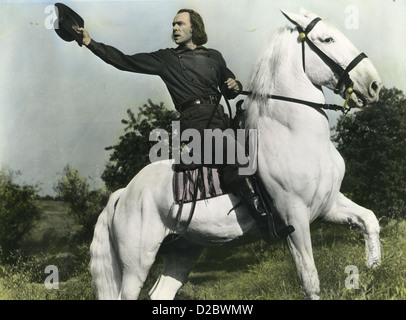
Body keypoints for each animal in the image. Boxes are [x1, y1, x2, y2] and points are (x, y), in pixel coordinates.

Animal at [89, 10, 384, 300]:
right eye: (327, 39)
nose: (373, 85)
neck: (294, 135)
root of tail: (124, 193)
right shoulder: (295, 218)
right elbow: (310, 280)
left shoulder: (328, 204)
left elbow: (369, 220)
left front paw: (374, 272)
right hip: (136, 262)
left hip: (182, 251)